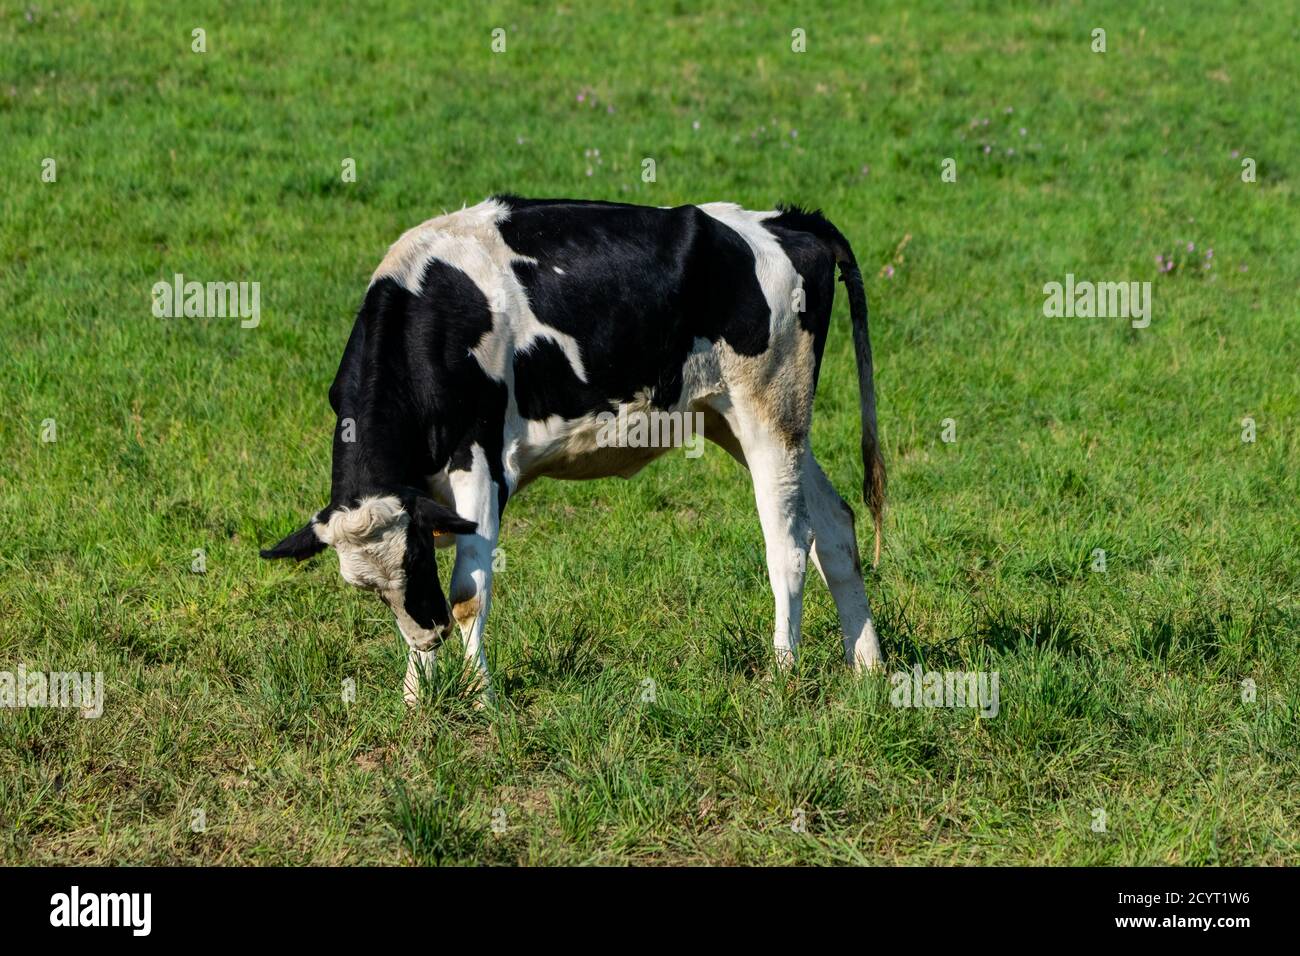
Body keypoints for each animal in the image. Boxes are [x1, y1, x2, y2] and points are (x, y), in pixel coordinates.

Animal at [260, 196, 886, 705]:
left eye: (413, 559)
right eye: (365, 590)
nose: (428, 632)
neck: (430, 319)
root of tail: (785, 219)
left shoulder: (480, 460)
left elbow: (467, 593)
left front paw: (482, 699)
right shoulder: (424, 493)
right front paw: (418, 698)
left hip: (770, 411)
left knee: (789, 543)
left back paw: (784, 672)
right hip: (735, 418)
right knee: (835, 525)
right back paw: (869, 667)